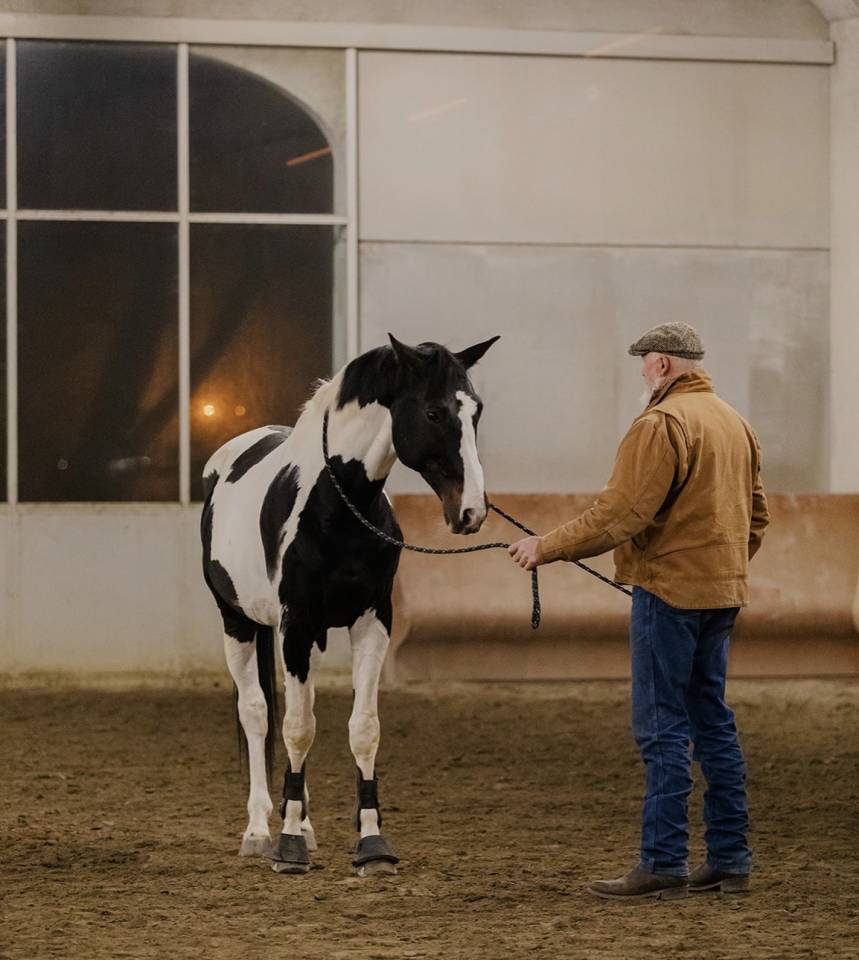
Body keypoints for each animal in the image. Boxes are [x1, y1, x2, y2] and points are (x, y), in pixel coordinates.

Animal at [200, 333, 500, 875]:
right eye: (433, 412)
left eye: (476, 410)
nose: (471, 512)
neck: (338, 505)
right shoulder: (295, 626)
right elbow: (296, 729)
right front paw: (288, 846)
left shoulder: (372, 623)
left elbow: (362, 729)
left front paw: (371, 843)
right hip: (238, 622)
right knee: (257, 714)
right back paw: (259, 831)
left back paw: (304, 824)